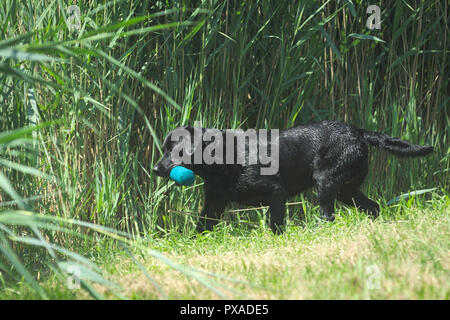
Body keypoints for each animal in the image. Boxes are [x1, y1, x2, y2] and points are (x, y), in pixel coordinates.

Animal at [154, 120, 432, 232]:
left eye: (173, 149)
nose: (156, 169)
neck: (225, 158)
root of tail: (358, 131)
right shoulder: (214, 202)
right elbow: (201, 227)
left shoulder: (277, 191)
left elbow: (276, 224)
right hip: (347, 190)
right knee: (373, 207)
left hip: (326, 182)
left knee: (328, 215)